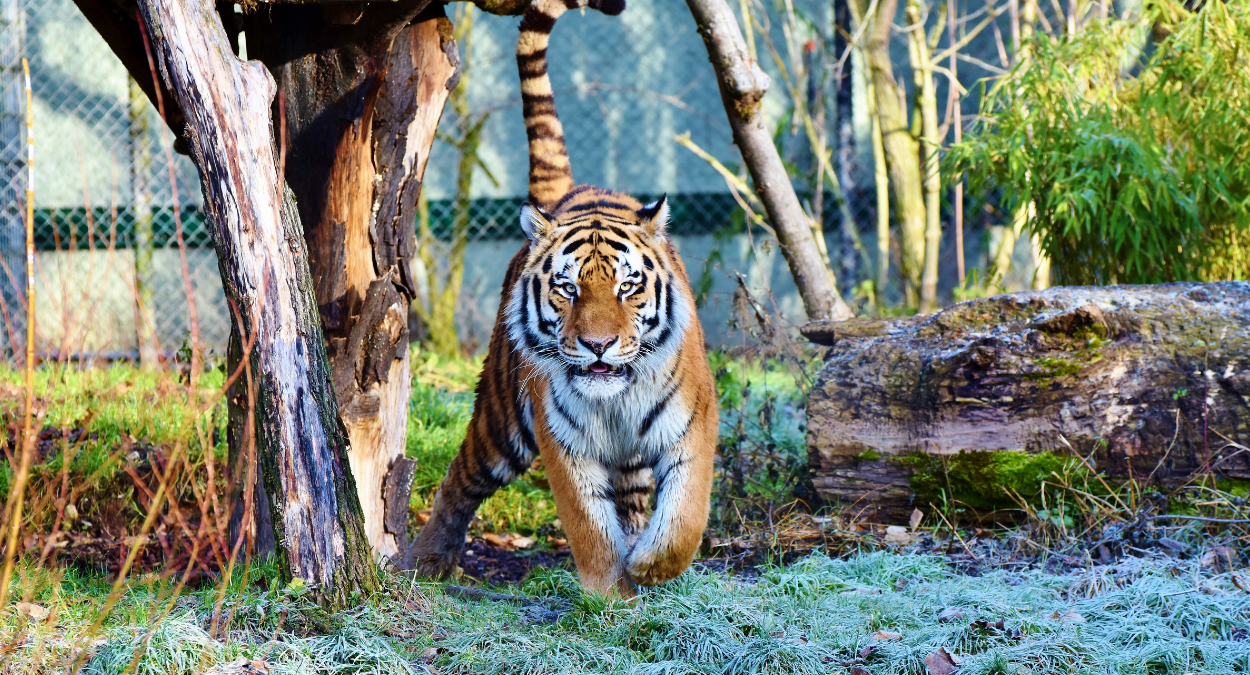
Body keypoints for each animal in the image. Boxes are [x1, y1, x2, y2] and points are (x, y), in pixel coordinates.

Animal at [407, 0, 715, 595]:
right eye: (567, 288)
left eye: (627, 286)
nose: (597, 345)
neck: (616, 400)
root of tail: (568, 191)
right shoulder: (563, 444)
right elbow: (588, 527)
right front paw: (608, 592)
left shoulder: (692, 428)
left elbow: (684, 517)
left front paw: (648, 565)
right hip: (501, 419)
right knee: (460, 478)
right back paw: (422, 562)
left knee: (634, 500)